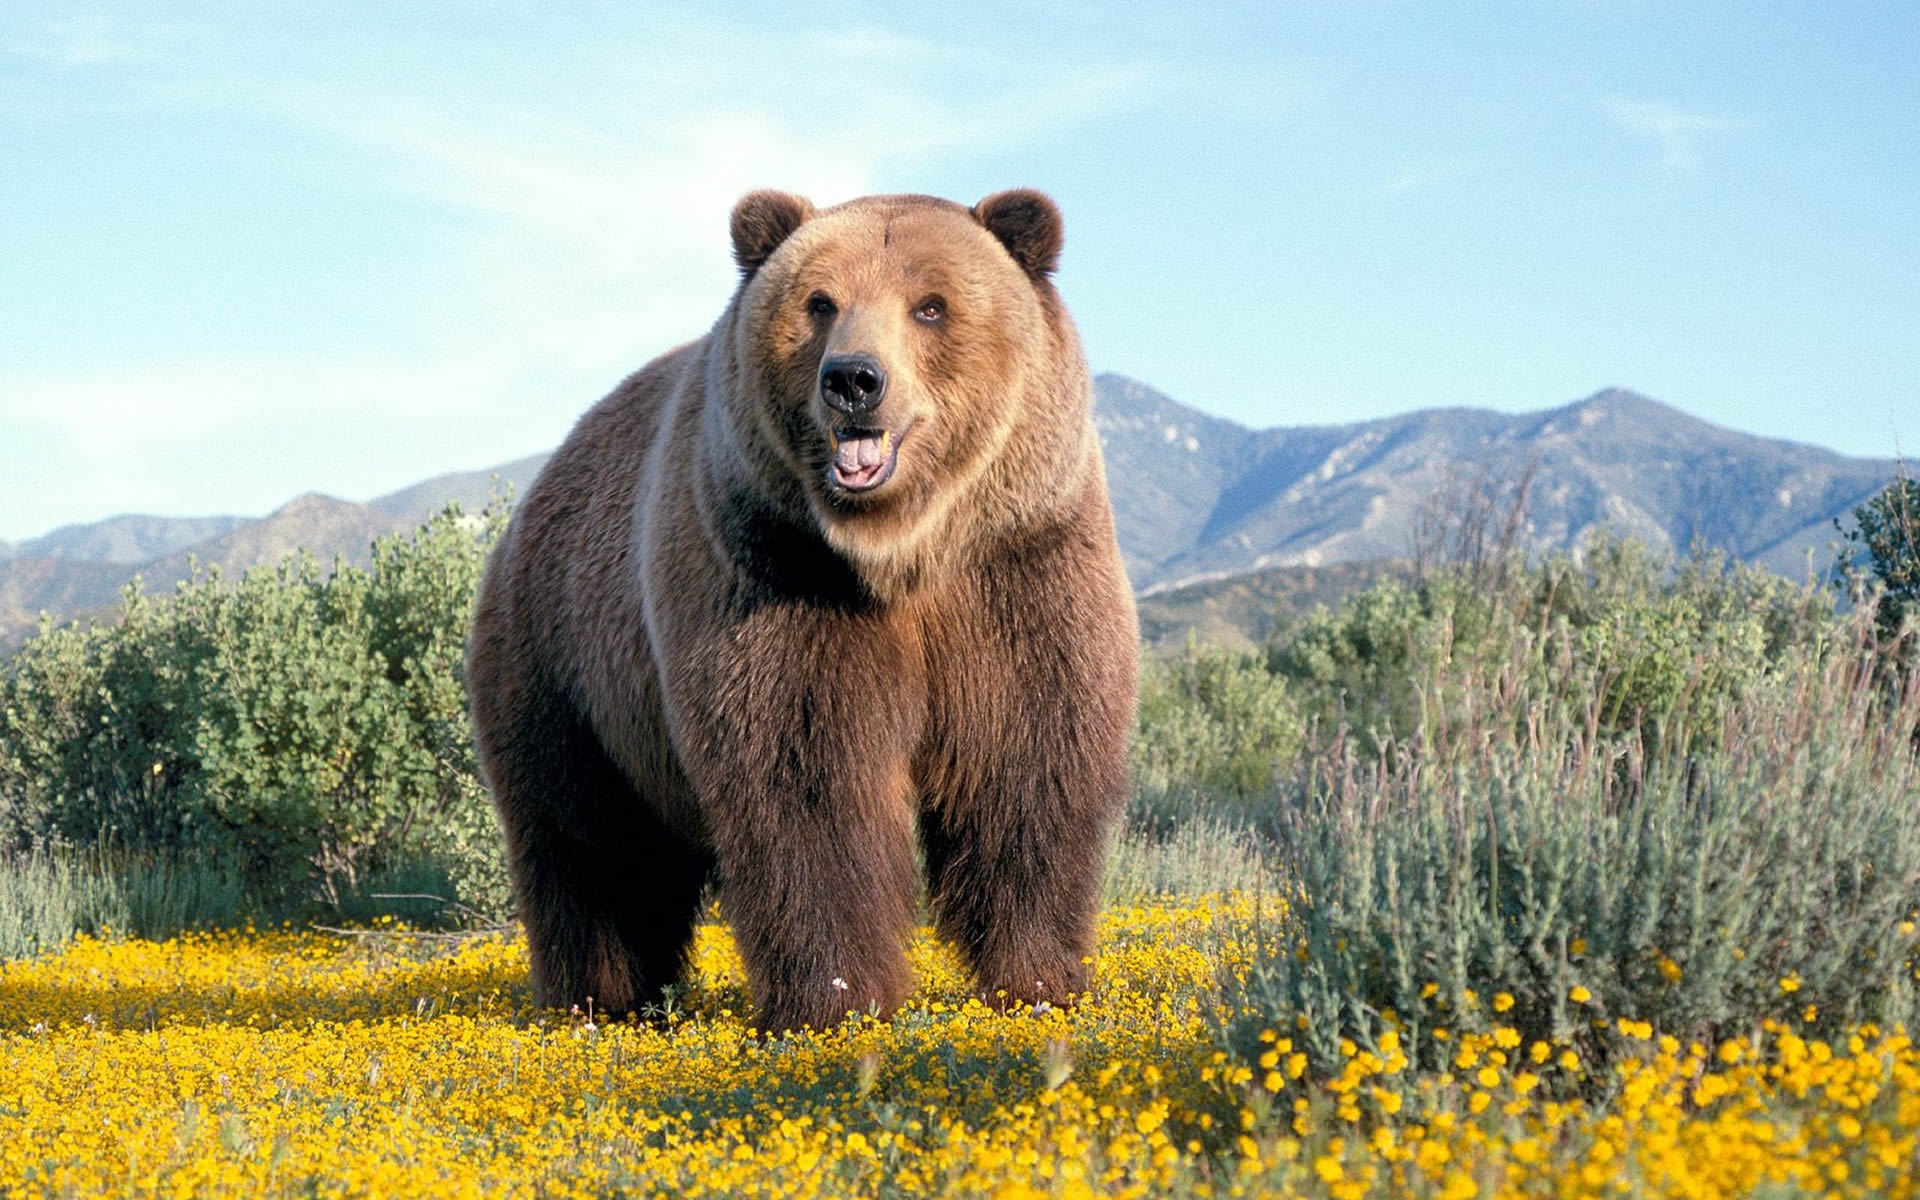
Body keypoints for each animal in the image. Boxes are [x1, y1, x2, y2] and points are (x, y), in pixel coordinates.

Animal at [465, 188, 1138, 1033]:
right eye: (820, 302)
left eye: (931, 305)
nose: (853, 378)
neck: (902, 552)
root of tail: (533, 496)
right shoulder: (776, 576)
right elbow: (807, 781)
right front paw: (839, 999)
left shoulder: (1018, 569)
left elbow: (1026, 763)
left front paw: (1039, 981)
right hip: (566, 666)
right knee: (589, 843)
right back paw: (600, 998)